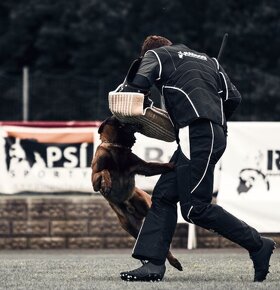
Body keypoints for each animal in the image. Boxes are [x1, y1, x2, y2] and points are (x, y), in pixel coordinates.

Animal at [92, 116, 183, 272]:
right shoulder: (94, 180)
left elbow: (161, 166)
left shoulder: (144, 167)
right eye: (123, 123)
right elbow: (104, 171)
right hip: (132, 228)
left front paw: (174, 164)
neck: (116, 147)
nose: (138, 124)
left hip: (146, 207)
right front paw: (107, 183)